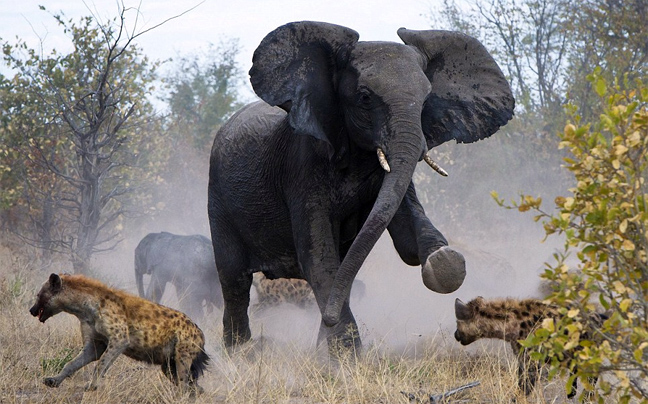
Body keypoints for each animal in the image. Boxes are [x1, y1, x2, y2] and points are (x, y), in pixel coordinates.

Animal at [209, 20, 516, 352]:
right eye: (365, 97)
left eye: (426, 100)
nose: (327, 319)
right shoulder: (301, 166)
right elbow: (318, 257)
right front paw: (345, 355)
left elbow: (407, 240)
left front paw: (445, 261)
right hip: (218, 197)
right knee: (235, 281)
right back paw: (240, 353)